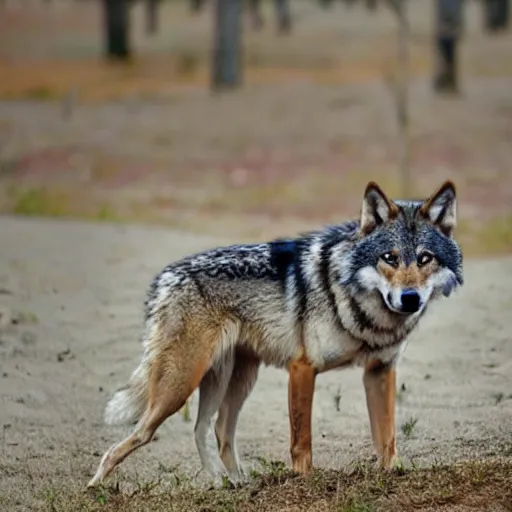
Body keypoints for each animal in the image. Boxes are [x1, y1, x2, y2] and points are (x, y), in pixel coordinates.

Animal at [87, 181, 464, 488]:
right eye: (390, 258)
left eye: (425, 259)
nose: (410, 298)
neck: (362, 308)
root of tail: (166, 276)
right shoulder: (303, 369)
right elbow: (302, 442)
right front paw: (303, 484)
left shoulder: (379, 371)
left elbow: (386, 438)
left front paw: (392, 475)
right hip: (179, 388)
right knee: (135, 437)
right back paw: (96, 486)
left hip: (235, 380)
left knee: (210, 430)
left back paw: (231, 486)